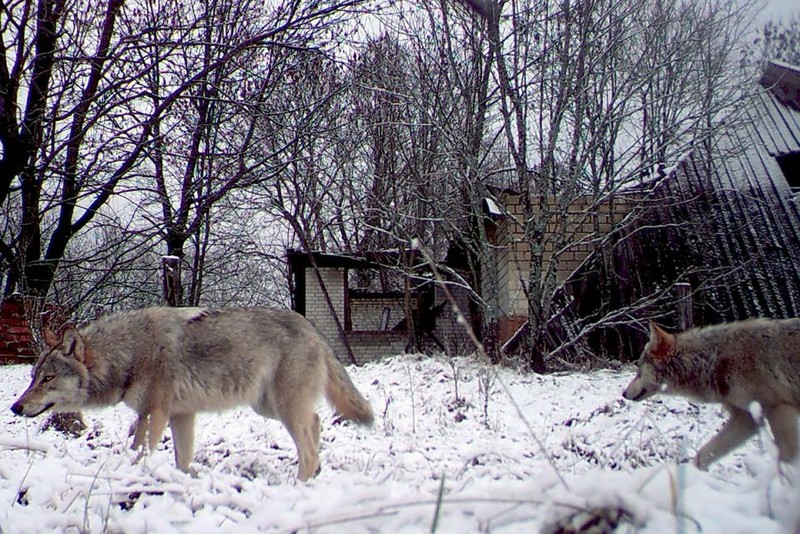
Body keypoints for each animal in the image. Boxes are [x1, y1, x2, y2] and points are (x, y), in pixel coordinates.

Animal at [9, 308, 374, 484]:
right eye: (33, 377)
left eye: (48, 378)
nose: (15, 406)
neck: (129, 353)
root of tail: (313, 328)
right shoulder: (179, 415)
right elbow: (181, 459)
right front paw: (178, 481)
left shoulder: (155, 413)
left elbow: (141, 451)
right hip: (269, 407)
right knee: (317, 423)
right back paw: (317, 474)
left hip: (282, 409)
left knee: (308, 447)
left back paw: (299, 487)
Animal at [624, 320, 800, 472]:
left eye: (639, 369)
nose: (623, 393)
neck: (714, 360)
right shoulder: (746, 419)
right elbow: (702, 455)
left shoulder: (779, 409)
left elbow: (786, 458)